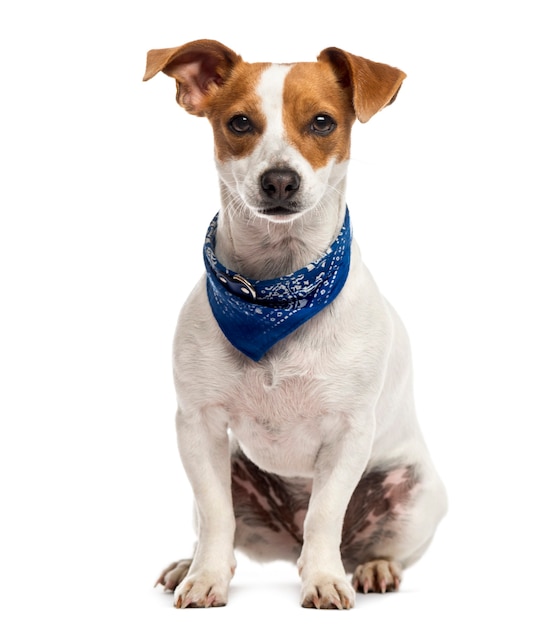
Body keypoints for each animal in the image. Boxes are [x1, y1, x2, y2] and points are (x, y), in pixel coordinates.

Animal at [142, 36, 444, 608]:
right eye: (239, 122)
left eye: (323, 122)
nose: (279, 180)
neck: (276, 295)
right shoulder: (198, 424)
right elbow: (216, 516)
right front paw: (206, 577)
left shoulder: (350, 432)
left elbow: (325, 515)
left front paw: (324, 579)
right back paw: (189, 563)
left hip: (416, 492)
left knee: (366, 544)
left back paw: (370, 568)